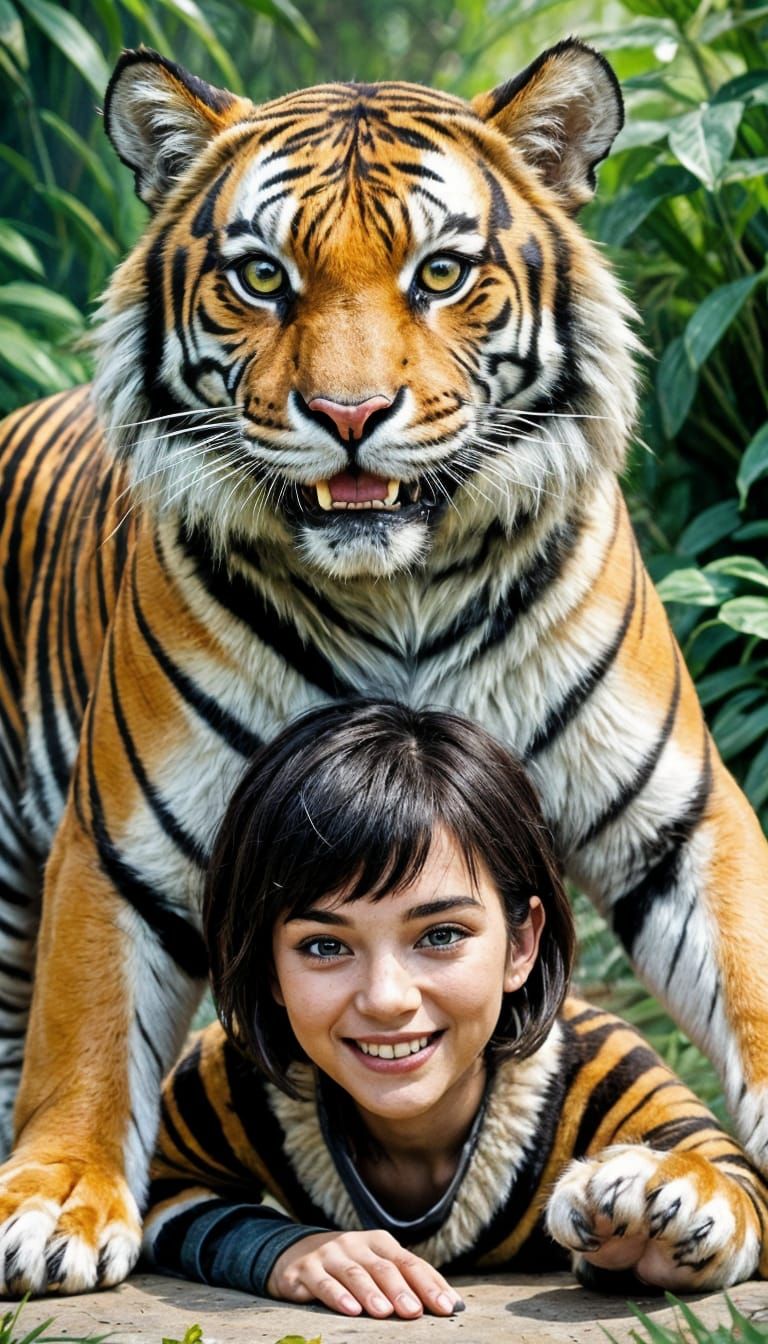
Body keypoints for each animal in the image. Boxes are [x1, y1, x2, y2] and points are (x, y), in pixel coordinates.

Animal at [0, 37, 766, 1296]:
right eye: (263, 278)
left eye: (441, 271)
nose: (348, 412)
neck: (401, 587)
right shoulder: (120, 842)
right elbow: (87, 1027)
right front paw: (56, 1201)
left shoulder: (680, 813)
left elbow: (749, 975)